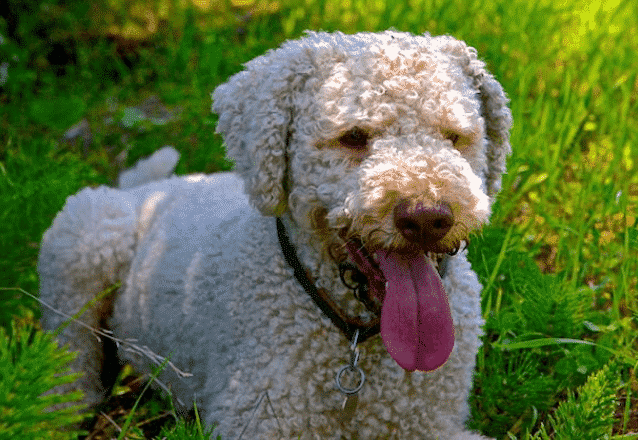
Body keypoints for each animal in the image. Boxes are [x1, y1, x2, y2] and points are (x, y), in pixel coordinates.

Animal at [38, 29, 510, 438]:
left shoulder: (433, 423)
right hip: (84, 238)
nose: (428, 216)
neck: (357, 336)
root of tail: (147, 187)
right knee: (70, 357)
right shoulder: (258, 417)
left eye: (455, 137)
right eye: (354, 136)